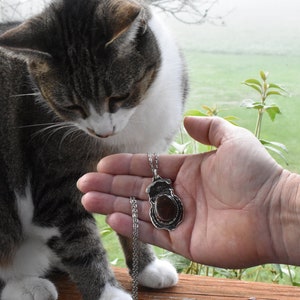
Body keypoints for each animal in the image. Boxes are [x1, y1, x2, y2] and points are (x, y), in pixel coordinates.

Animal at [0, 0, 188, 298]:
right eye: (71, 106)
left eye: (119, 97)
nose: (102, 131)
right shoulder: (55, 186)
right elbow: (80, 243)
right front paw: (108, 293)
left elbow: (131, 218)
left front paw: (147, 268)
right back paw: (28, 287)